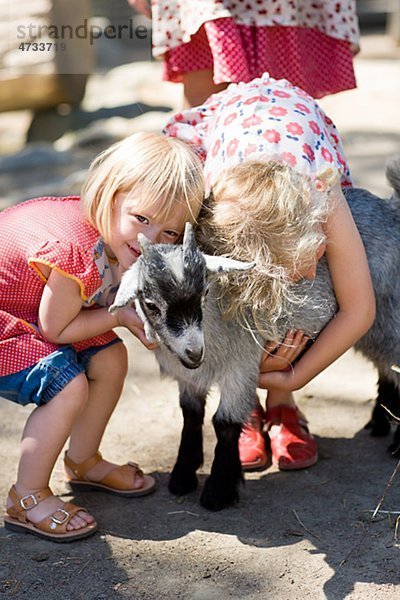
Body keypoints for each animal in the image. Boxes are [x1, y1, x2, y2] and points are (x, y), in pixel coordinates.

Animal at [111, 159, 400, 510]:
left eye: (204, 290)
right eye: (151, 304)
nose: (193, 352)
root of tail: (391, 208)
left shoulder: (241, 366)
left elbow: (224, 423)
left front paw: (218, 490)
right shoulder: (189, 377)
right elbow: (191, 415)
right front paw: (183, 475)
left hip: (387, 316)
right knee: (386, 367)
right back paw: (379, 422)